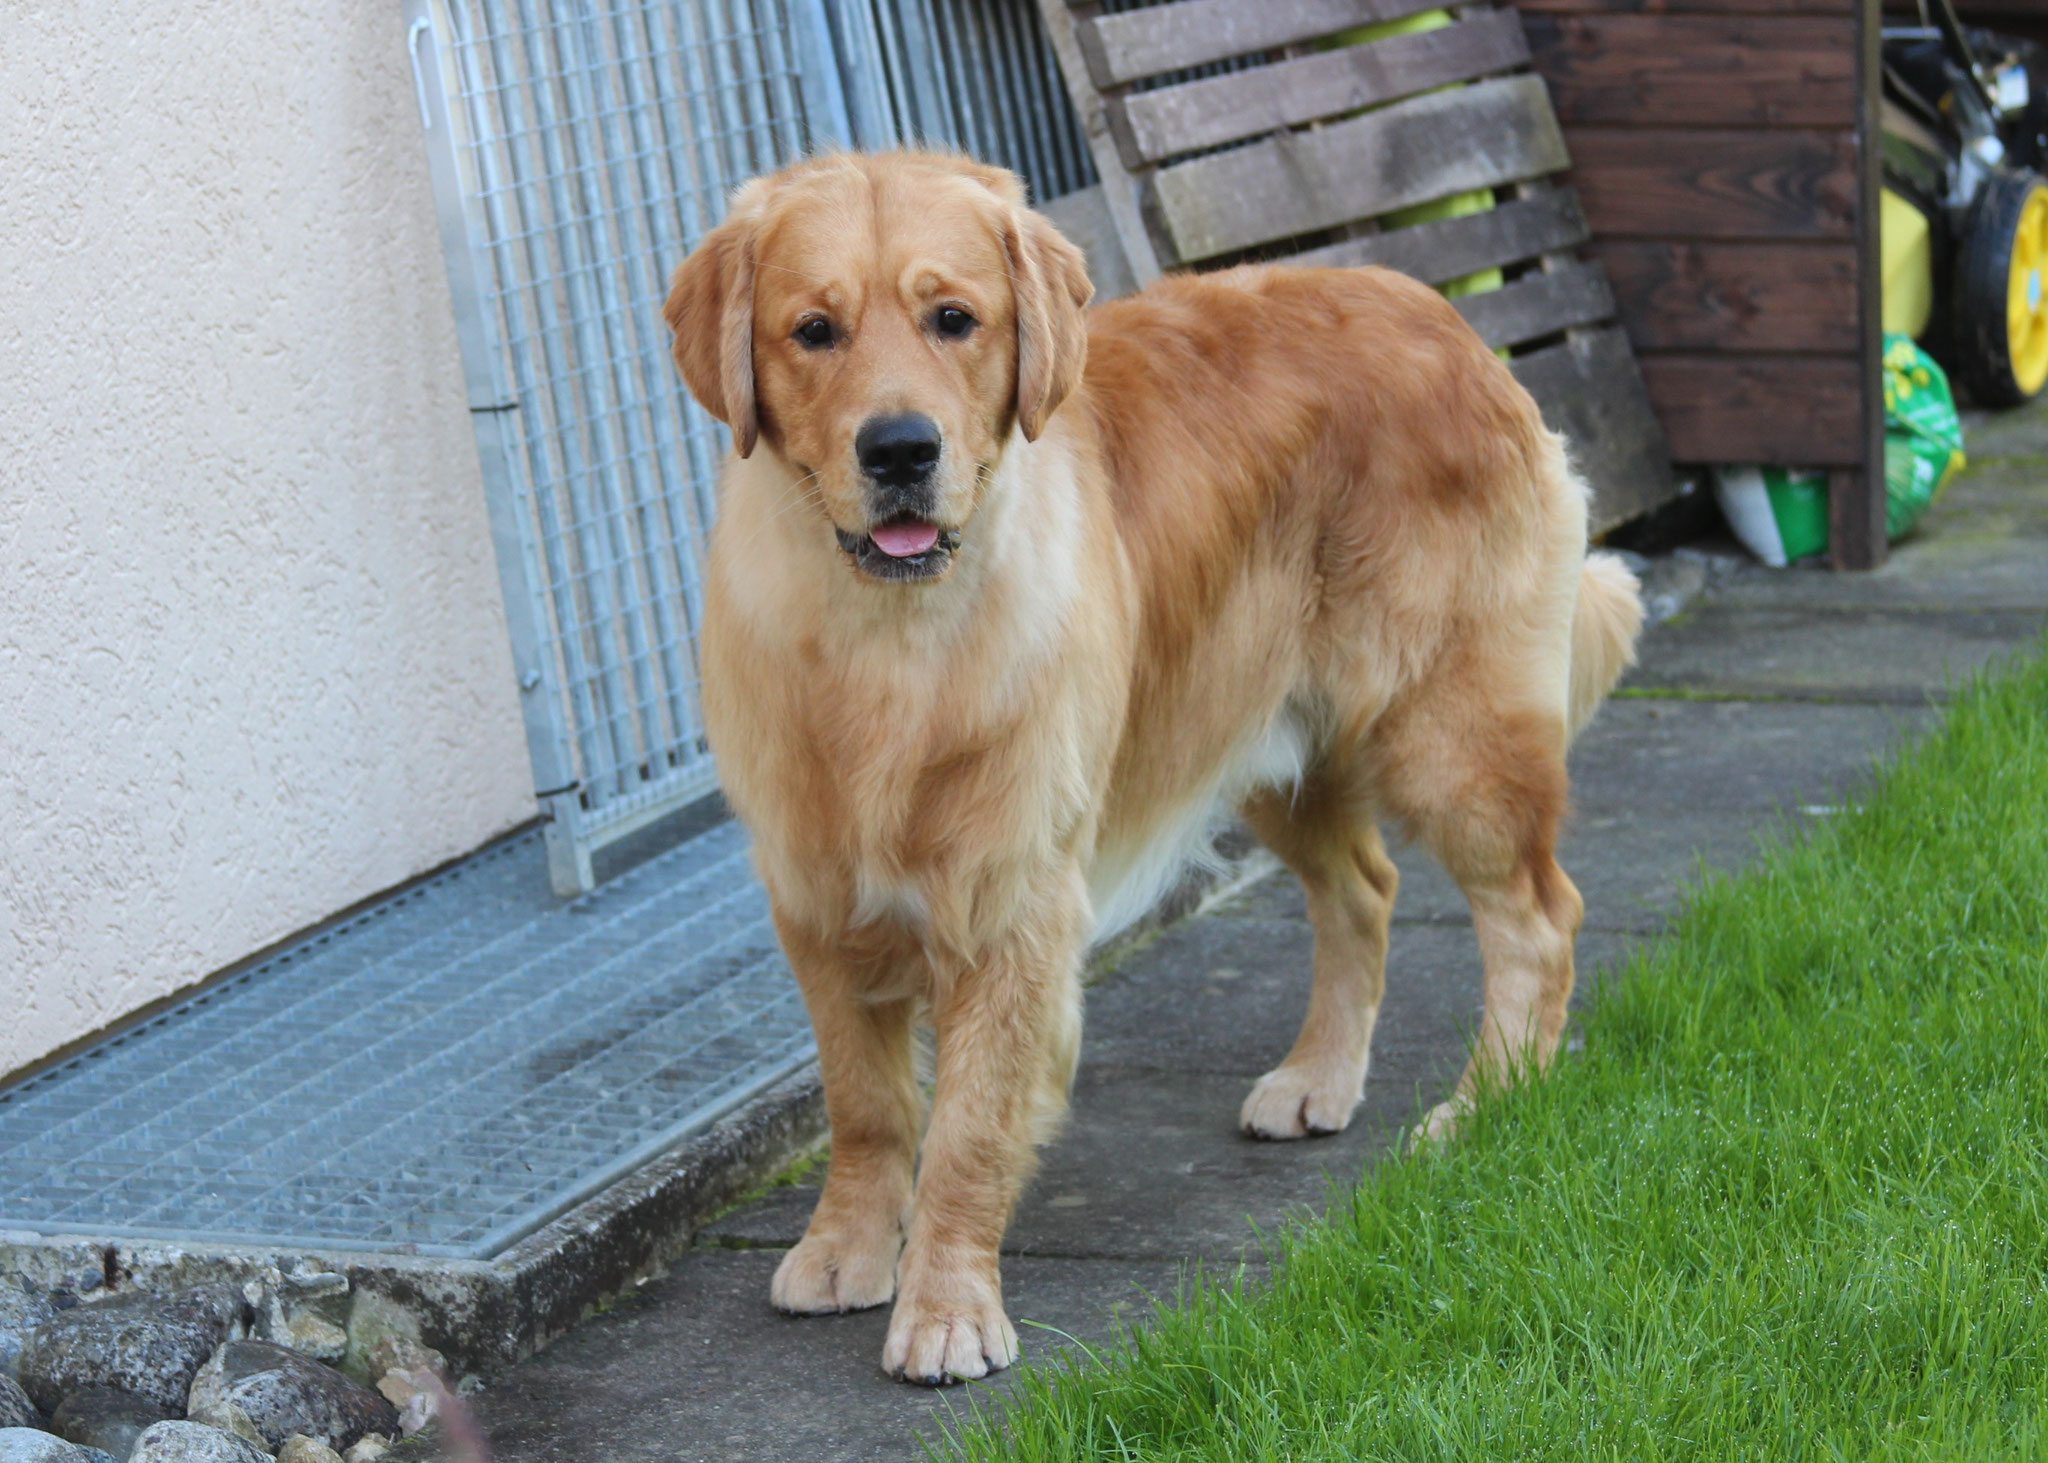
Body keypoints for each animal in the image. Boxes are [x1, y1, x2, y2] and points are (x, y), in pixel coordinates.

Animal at [663, 150, 1642, 1385]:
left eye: (954, 319)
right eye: (812, 330)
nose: (899, 450)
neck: (890, 642)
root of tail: (1441, 314)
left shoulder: (1013, 896)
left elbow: (970, 1124)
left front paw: (947, 1307)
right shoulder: (812, 886)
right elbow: (866, 1100)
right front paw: (846, 1245)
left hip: (1447, 739)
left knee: (1537, 917)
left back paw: (1486, 1104)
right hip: (1265, 737)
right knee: (1364, 891)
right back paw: (1319, 1079)